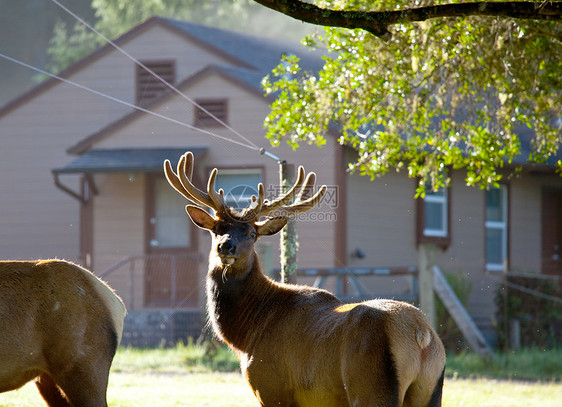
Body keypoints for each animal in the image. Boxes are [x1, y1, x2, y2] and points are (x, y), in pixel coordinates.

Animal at [164, 153, 444, 407]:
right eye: (216, 229)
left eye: (252, 233)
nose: (226, 247)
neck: (247, 335)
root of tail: (421, 335)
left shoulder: (272, 388)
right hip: (430, 390)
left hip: (371, 385)